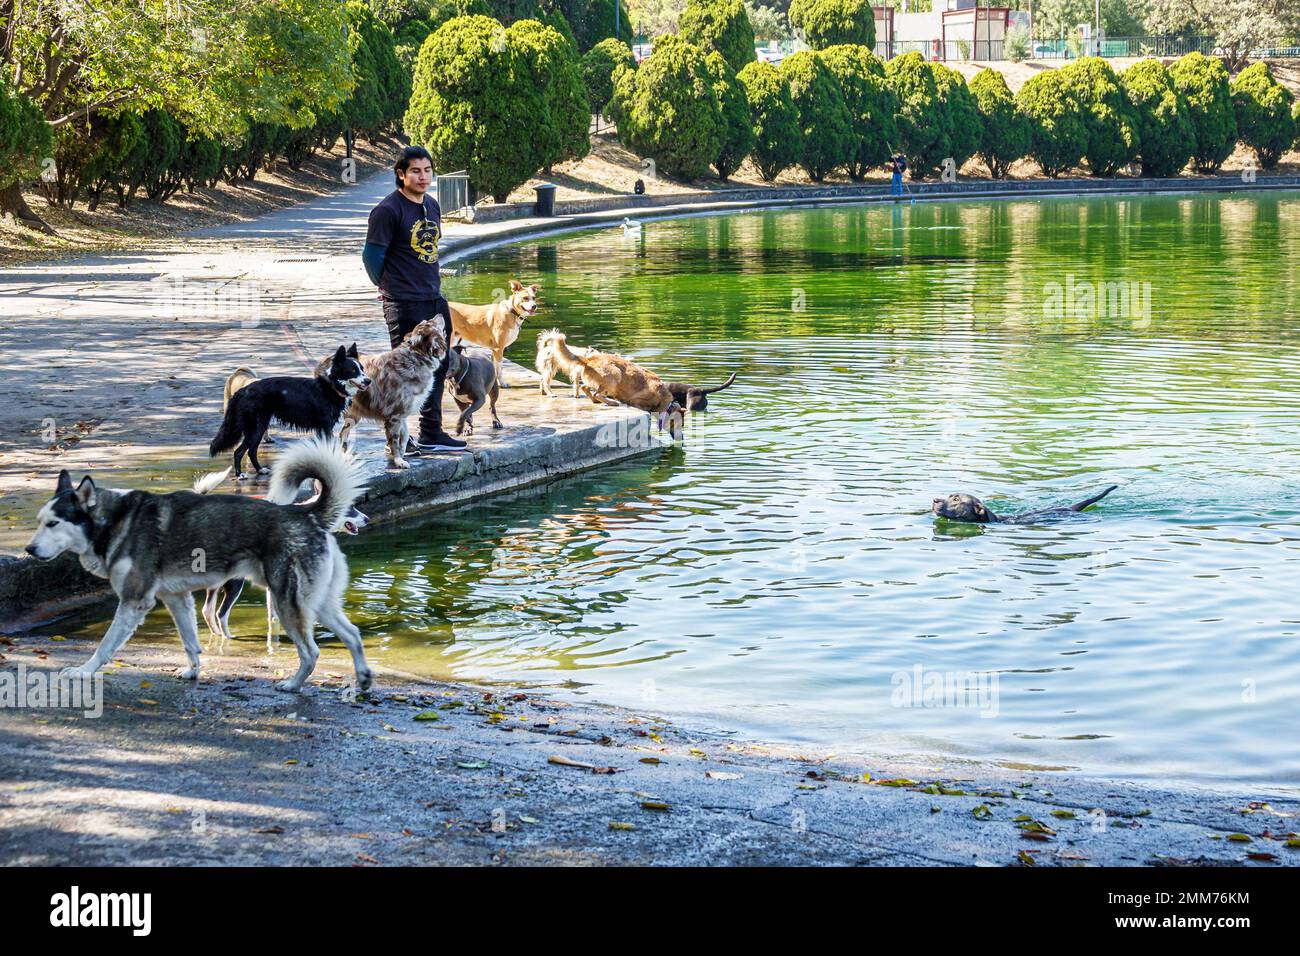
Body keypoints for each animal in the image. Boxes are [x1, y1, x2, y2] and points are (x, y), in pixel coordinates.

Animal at [24, 437, 371, 691]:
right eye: (40, 522)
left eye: (54, 524)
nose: (29, 549)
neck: (114, 520)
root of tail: (305, 512)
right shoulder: (177, 598)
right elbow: (190, 642)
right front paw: (193, 671)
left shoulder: (135, 602)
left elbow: (106, 645)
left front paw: (84, 671)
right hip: (317, 603)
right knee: (352, 634)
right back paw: (363, 679)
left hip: (288, 603)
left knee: (311, 652)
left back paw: (294, 684)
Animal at [208, 343, 371, 478]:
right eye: (353, 370)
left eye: (362, 369)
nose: (369, 381)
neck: (332, 386)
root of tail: (244, 390)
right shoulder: (325, 427)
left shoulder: (322, 428)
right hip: (255, 428)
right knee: (239, 451)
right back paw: (240, 475)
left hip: (259, 427)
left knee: (252, 451)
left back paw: (260, 470)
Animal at [314, 321, 447, 470]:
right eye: (432, 322)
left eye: (427, 322)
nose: (441, 316)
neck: (416, 357)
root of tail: (327, 361)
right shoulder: (394, 415)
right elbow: (395, 440)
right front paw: (398, 460)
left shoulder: (402, 413)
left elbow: (404, 437)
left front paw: (402, 454)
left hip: (353, 416)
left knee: (343, 433)